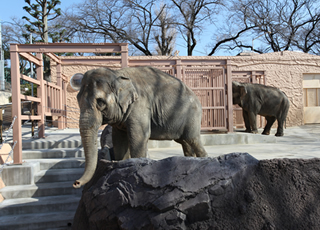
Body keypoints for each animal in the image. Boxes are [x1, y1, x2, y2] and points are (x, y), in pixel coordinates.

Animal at [72, 66, 208, 189]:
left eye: (100, 102)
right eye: (77, 100)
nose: (76, 183)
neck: (116, 74)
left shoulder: (140, 105)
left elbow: (138, 136)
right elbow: (118, 139)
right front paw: (120, 165)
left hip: (192, 115)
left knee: (193, 139)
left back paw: (205, 160)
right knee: (184, 141)